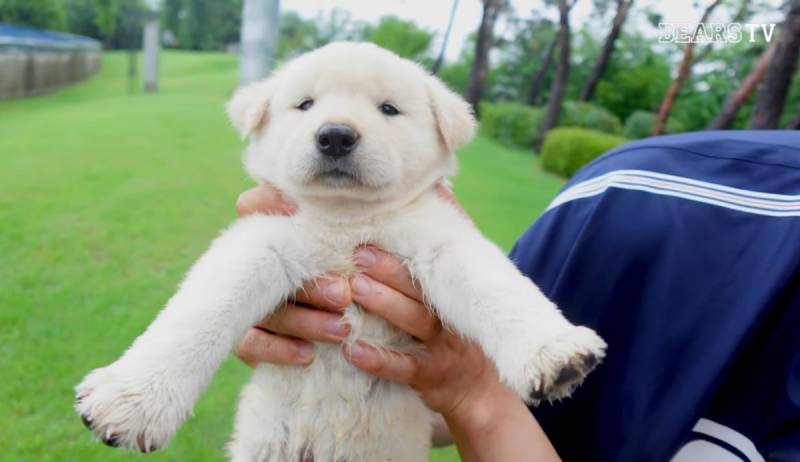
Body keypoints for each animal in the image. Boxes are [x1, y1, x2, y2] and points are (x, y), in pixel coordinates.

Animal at [76, 41, 608, 460]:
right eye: (305, 104)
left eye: (388, 109)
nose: (335, 135)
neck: (347, 222)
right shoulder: (261, 243)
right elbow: (196, 317)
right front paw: (131, 399)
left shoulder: (439, 240)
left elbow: (499, 288)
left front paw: (554, 351)